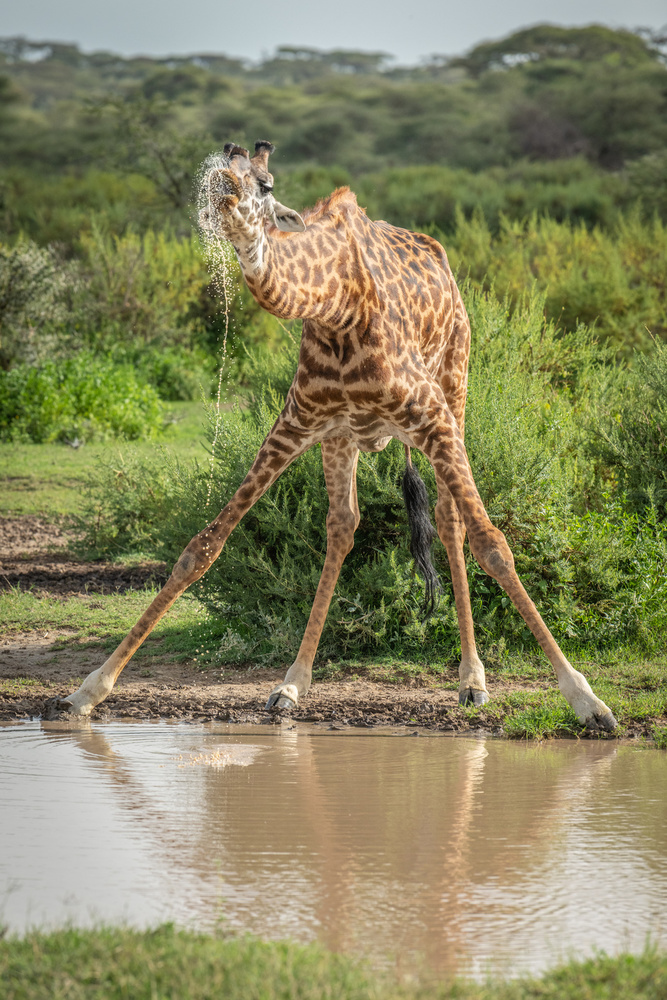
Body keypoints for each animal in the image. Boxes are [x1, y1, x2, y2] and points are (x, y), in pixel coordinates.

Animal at [57, 141, 616, 732]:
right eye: (224, 165)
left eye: (265, 184)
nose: (222, 187)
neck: (335, 304)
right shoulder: (298, 423)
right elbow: (202, 547)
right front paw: (86, 692)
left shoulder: (431, 415)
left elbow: (495, 545)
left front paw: (587, 700)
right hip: (344, 438)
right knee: (344, 526)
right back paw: (292, 684)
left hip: (455, 388)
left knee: (448, 518)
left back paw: (472, 679)